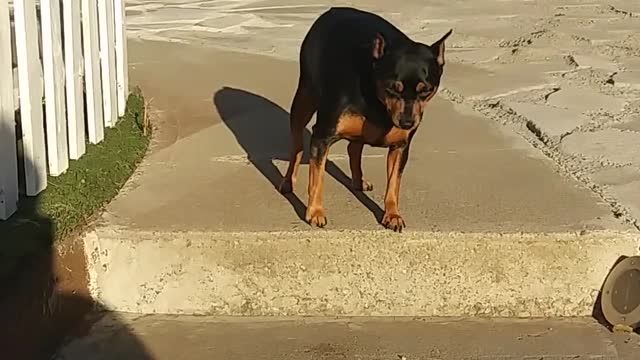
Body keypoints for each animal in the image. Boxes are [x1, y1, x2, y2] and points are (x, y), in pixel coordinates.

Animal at [278, 7, 452, 232]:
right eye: (392, 88)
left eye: (426, 91)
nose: (407, 123)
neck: (379, 102)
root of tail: (334, 9)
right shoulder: (321, 136)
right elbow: (317, 179)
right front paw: (315, 212)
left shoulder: (400, 146)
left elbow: (393, 185)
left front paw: (392, 215)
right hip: (304, 98)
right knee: (297, 144)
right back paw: (288, 181)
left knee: (354, 147)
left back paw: (358, 181)